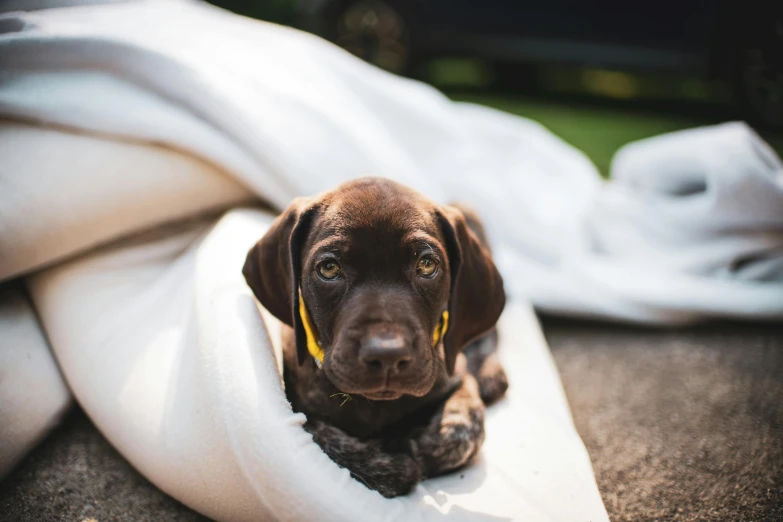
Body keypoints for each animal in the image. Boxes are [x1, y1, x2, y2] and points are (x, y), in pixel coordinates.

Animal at [248, 176, 512, 496]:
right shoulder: (299, 407)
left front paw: (418, 444)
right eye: (329, 268)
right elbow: (322, 434)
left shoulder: (457, 376)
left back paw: (489, 373)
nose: (388, 355)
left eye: (427, 264)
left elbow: (461, 430)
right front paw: (390, 464)